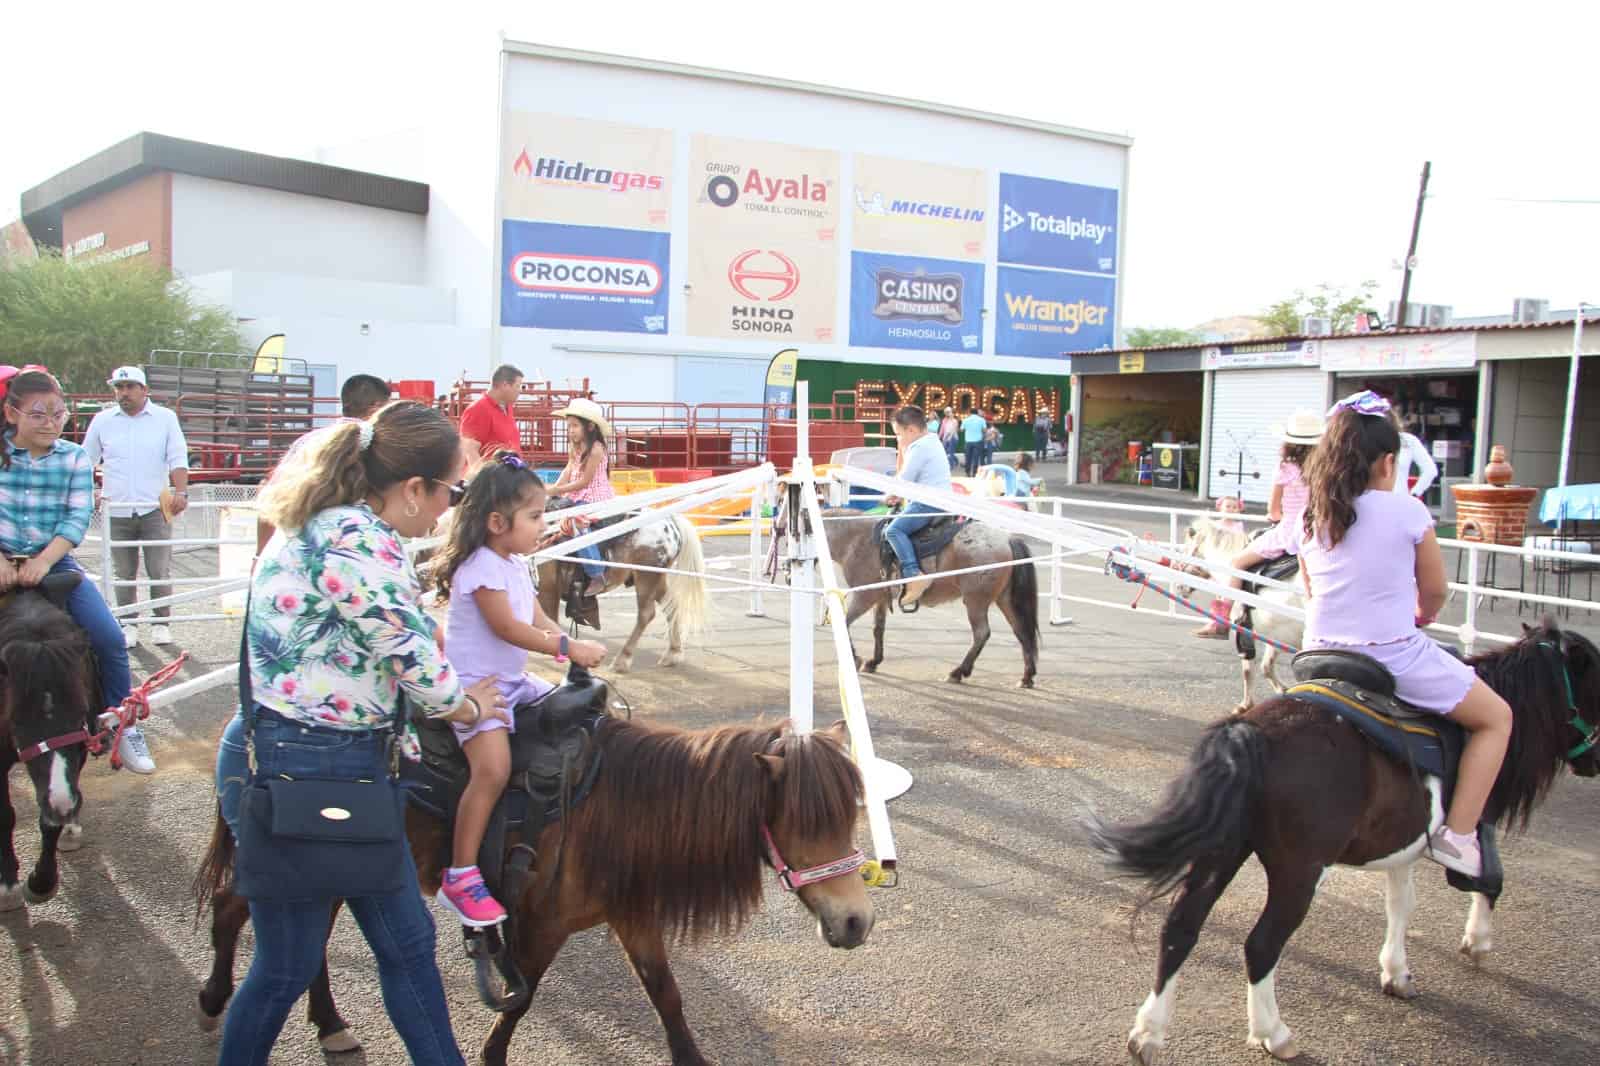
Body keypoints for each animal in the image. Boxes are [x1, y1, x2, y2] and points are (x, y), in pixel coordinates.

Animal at [0, 585, 94, 909]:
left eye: (81, 711)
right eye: (15, 720)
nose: (62, 804)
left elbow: (50, 822)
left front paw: (41, 882)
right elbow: (5, 815)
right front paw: (8, 885)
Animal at [201, 713, 883, 1062]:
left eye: (846, 816)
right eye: (805, 823)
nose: (858, 922)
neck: (617, 807)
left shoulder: (632, 915)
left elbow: (667, 997)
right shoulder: (542, 926)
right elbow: (518, 1003)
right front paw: (490, 1056)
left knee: (306, 950)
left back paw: (329, 1024)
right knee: (232, 912)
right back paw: (213, 998)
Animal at [1088, 617, 1600, 1056]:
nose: (1594, 762)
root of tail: (1252, 731)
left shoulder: (1403, 844)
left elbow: (1401, 904)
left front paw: (1396, 972)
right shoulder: (1479, 822)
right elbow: (1489, 880)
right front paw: (1476, 941)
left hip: (1223, 851)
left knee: (1180, 928)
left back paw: (1148, 1033)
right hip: (1299, 871)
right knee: (1261, 944)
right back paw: (1273, 1033)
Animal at [1177, 512, 1299, 704]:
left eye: (1185, 552)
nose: (1180, 587)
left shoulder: (1244, 627)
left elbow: (1248, 669)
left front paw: (1245, 705)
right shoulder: (1278, 632)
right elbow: (1266, 666)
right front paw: (1284, 690)